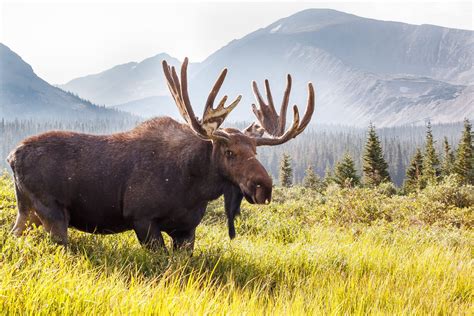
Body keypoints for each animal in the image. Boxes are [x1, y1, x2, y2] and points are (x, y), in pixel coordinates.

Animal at [6, 58, 314, 252]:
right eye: (229, 152)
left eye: (255, 150)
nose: (265, 187)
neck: (195, 186)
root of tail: (11, 157)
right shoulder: (142, 219)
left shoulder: (186, 230)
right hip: (52, 211)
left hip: (28, 211)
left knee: (13, 235)